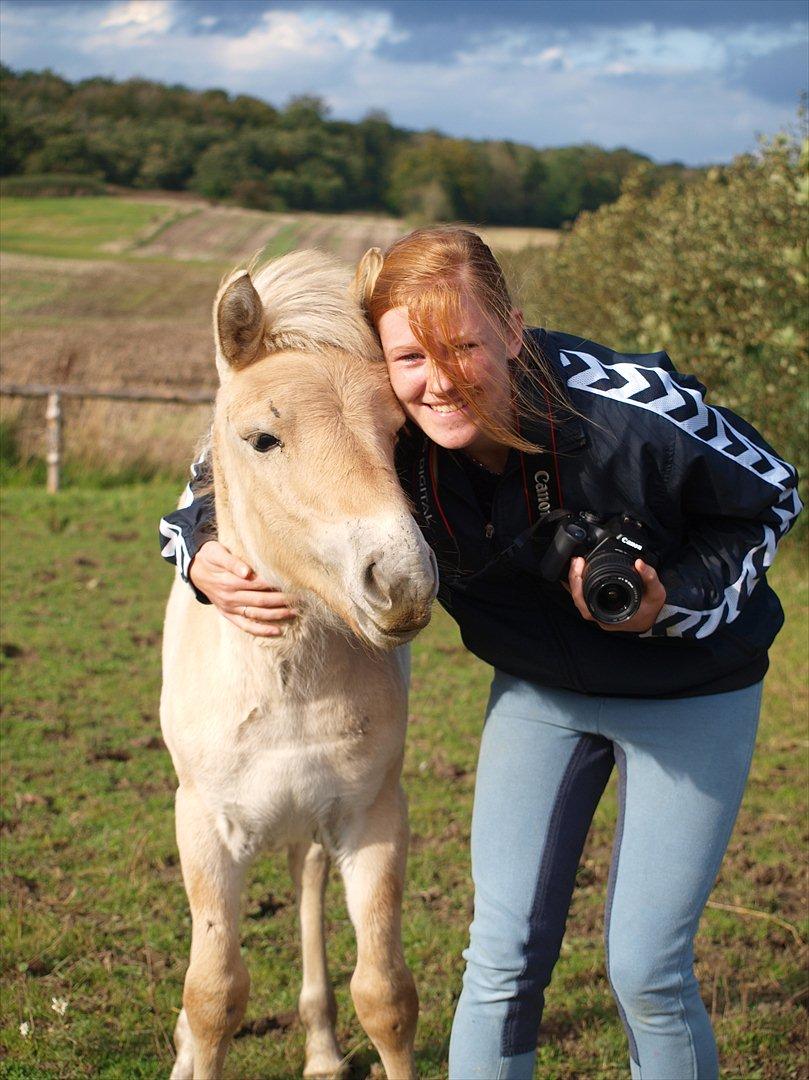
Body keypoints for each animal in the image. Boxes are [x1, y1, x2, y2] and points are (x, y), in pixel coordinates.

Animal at [162, 252, 438, 1080]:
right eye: (262, 438)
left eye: (401, 437)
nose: (402, 581)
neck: (285, 688)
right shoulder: (206, 829)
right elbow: (212, 994)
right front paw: (193, 1045)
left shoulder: (373, 818)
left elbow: (385, 993)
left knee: (307, 884)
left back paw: (319, 1048)